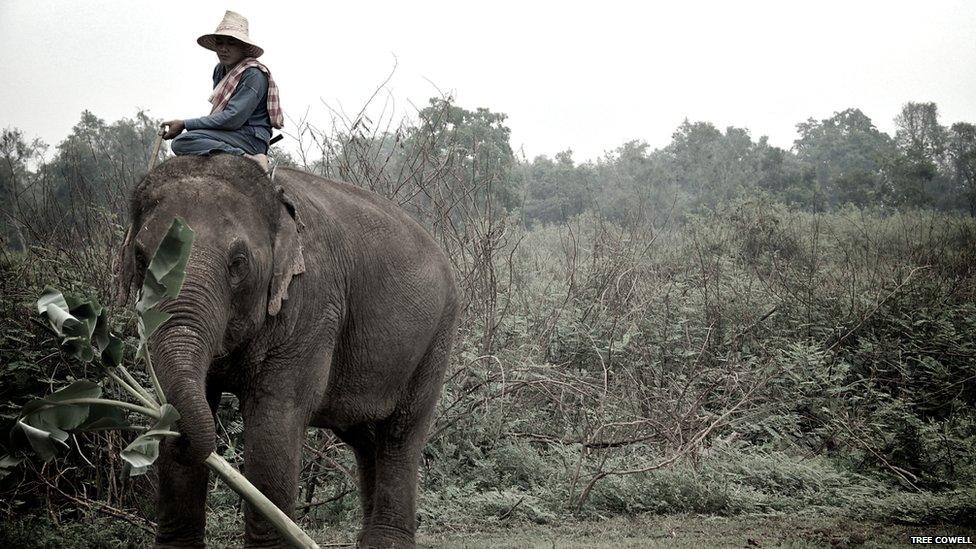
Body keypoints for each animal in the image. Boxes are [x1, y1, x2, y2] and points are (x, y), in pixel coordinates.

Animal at [117, 155, 460, 548]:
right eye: (140, 257)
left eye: (238, 263)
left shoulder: (312, 303)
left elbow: (275, 417)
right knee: (363, 436)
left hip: (436, 335)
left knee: (401, 432)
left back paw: (385, 542)